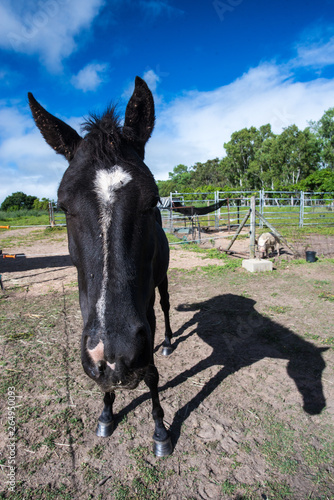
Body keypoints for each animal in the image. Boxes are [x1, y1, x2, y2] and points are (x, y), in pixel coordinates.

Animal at [29, 76, 174, 456]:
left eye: (153, 200)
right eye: (63, 206)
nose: (116, 357)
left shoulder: (145, 317)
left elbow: (151, 372)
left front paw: (160, 430)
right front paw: (107, 414)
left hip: (163, 284)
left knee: (168, 306)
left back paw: (169, 341)